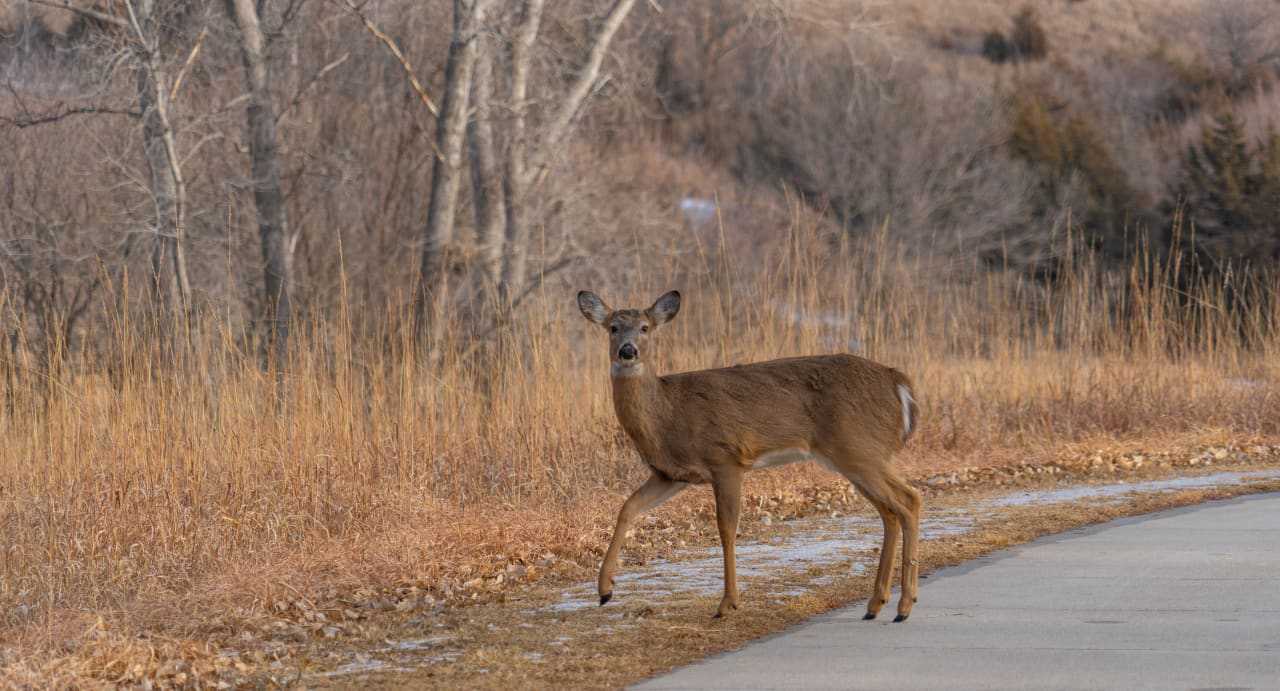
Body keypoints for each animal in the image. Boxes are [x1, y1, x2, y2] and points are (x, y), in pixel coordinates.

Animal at [578, 290, 921, 621]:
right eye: (613, 327)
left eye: (645, 327)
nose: (628, 351)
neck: (666, 413)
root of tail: (899, 382)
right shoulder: (671, 474)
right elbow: (628, 508)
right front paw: (605, 590)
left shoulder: (725, 458)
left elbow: (727, 528)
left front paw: (727, 603)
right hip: (858, 456)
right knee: (890, 511)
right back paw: (876, 603)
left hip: (859, 449)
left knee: (909, 500)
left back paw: (904, 605)